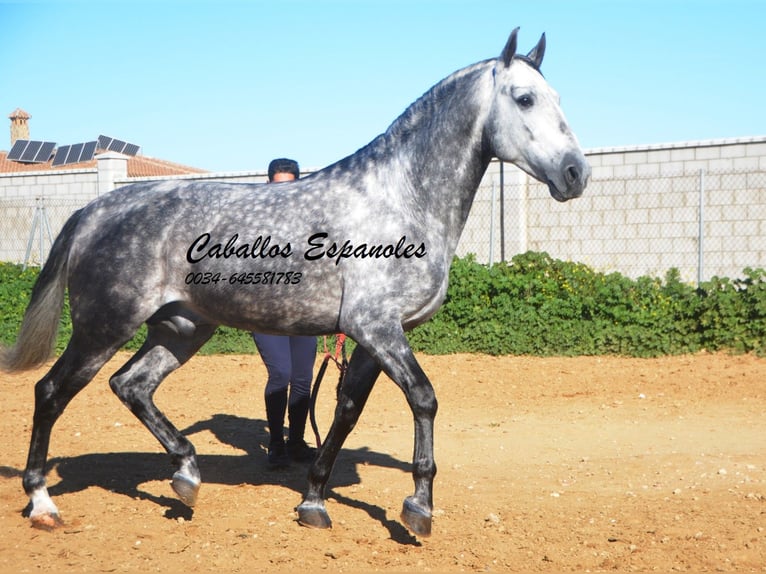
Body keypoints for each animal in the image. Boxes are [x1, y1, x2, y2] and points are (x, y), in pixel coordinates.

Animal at [0, 29, 592, 536]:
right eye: (523, 99)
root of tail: (93, 211)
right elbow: (424, 399)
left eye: (557, 97)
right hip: (104, 326)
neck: (398, 198)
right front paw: (419, 508)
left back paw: (187, 477)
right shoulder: (378, 327)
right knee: (51, 392)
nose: (575, 174)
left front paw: (313, 501)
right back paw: (43, 503)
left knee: (132, 385)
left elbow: (347, 411)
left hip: (182, 328)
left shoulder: (372, 338)